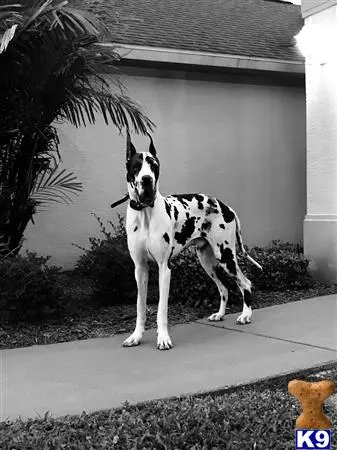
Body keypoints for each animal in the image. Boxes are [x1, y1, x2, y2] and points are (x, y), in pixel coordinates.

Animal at [122, 132, 262, 350]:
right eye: (136, 166)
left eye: (154, 165)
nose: (147, 179)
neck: (145, 213)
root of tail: (226, 206)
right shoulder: (140, 268)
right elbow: (140, 307)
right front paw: (136, 336)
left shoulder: (164, 268)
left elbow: (162, 309)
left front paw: (163, 338)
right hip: (207, 261)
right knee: (224, 288)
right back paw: (220, 314)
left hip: (225, 256)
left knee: (245, 283)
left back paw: (245, 315)